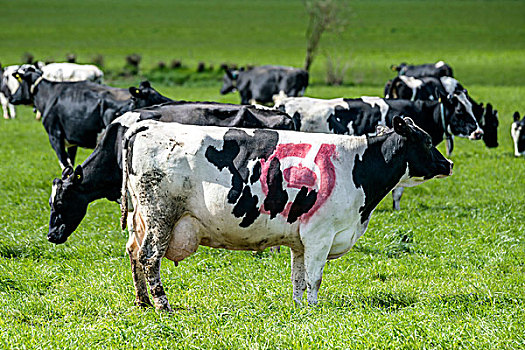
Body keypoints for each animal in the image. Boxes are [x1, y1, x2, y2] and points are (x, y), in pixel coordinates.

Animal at [103, 118, 450, 312]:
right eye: (427, 140)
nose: (448, 164)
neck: (355, 165)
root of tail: (148, 125)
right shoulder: (319, 235)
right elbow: (314, 277)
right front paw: (314, 309)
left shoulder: (301, 241)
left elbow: (298, 277)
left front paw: (298, 307)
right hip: (160, 213)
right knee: (149, 256)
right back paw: (162, 304)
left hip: (140, 218)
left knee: (133, 252)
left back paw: (142, 301)